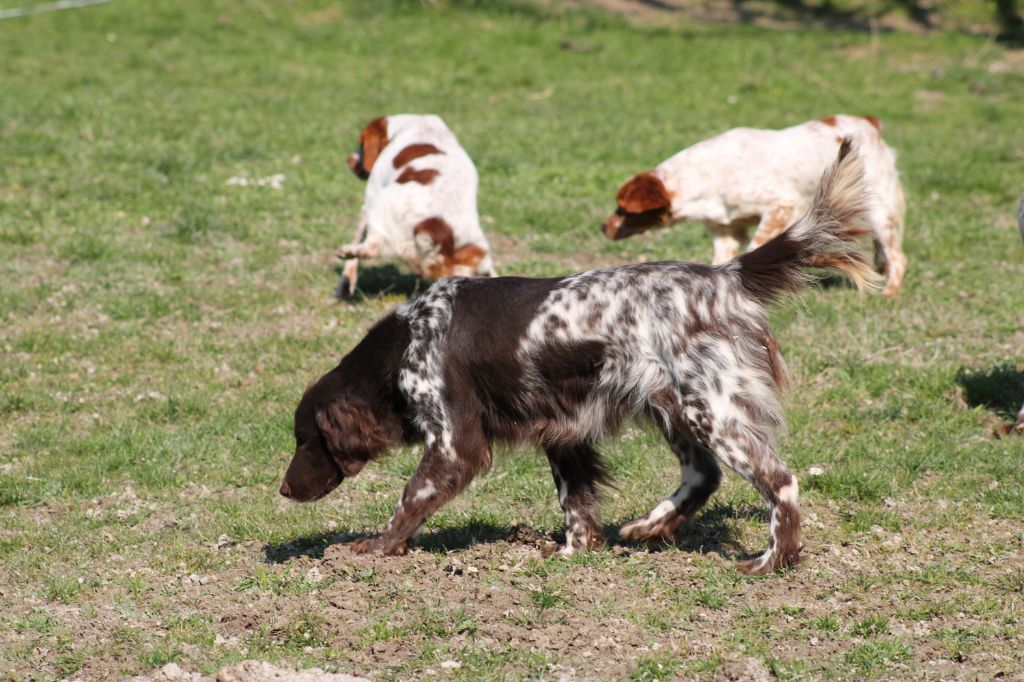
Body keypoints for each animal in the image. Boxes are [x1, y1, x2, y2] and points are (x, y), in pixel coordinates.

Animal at [282, 139, 880, 573]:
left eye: (306, 439)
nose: (284, 489)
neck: (407, 341)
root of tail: (724, 276)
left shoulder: (455, 444)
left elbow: (411, 498)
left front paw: (377, 547)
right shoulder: (563, 432)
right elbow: (575, 502)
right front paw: (574, 549)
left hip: (716, 414)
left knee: (781, 482)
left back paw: (772, 560)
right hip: (676, 410)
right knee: (703, 476)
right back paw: (650, 526)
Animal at [335, 113, 495, 294]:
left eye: (361, 144)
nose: (349, 160)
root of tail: (438, 230)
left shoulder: (371, 194)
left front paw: (345, 283)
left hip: (380, 206)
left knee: (372, 247)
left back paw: (348, 251)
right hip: (478, 250)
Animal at [598, 114, 905, 294]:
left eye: (622, 209)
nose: (603, 227)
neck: (708, 175)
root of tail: (870, 122)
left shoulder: (780, 206)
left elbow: (757, 246)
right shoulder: (726, 232)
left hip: (880, 211)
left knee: (898, 257)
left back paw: (889, 293)